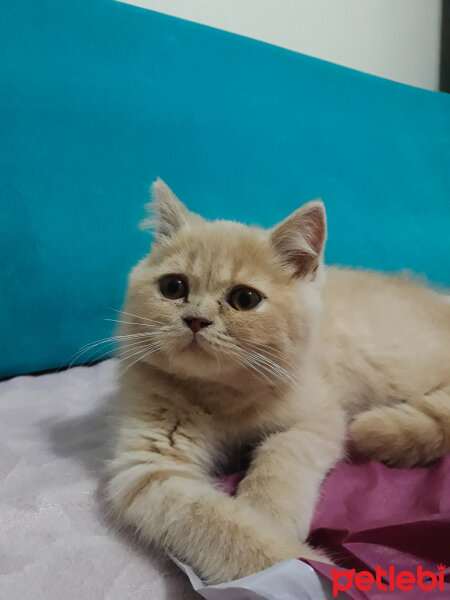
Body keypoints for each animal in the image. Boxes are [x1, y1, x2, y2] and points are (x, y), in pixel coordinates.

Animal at [105, 178, 450, 580]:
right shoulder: (152, 469)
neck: (223, 392)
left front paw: (270, 515)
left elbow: (280, 457)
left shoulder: (318, 418)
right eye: (173, 287)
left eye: (245, 299)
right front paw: (294, 562)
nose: (195, 319)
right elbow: (219, 525)